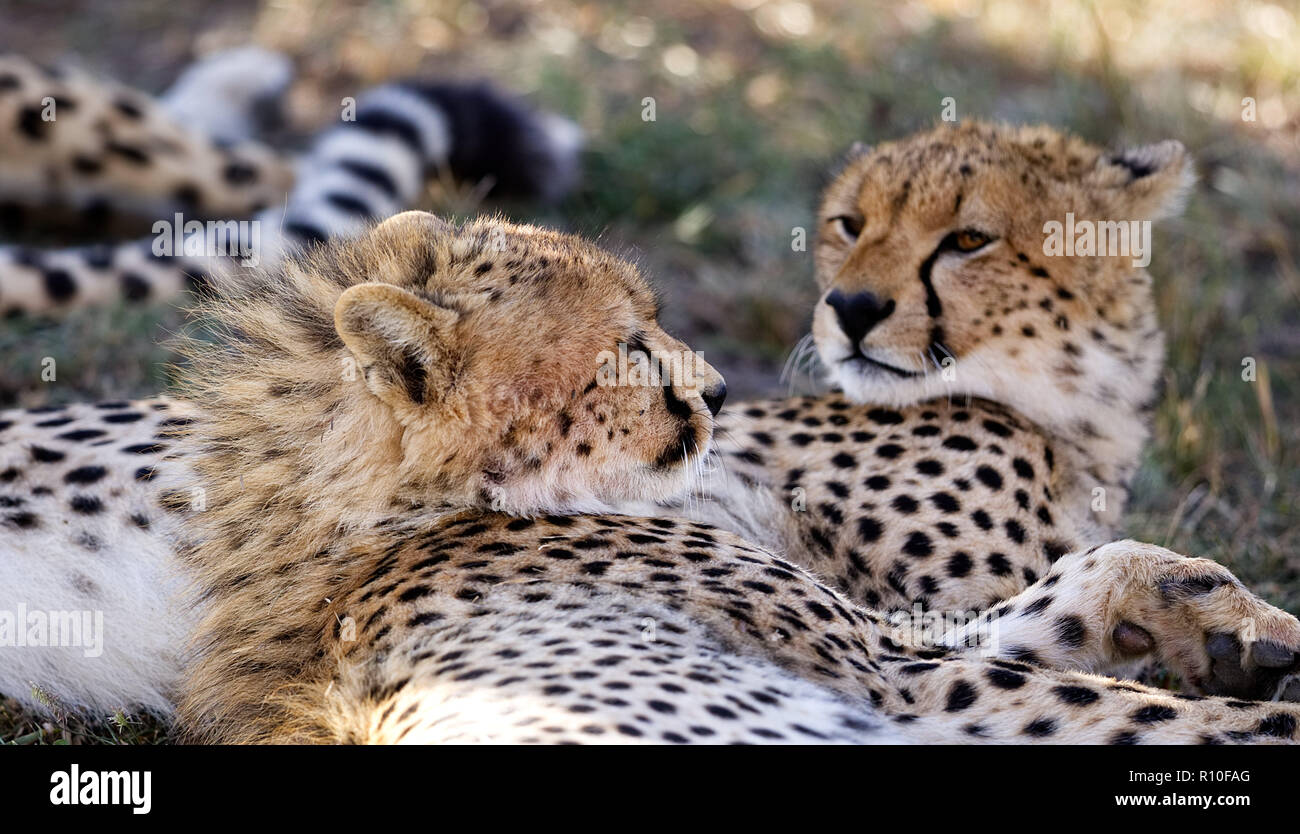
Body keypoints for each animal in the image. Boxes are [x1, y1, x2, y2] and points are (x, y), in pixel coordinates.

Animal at [3, 210, 1300, 744]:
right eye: (624, 345)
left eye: (655, 317)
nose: (717, 390)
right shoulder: (883, 675)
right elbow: (1101, 675)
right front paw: (1226, 647)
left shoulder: (891, 652)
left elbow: (1059, 589)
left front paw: (1205, 614)